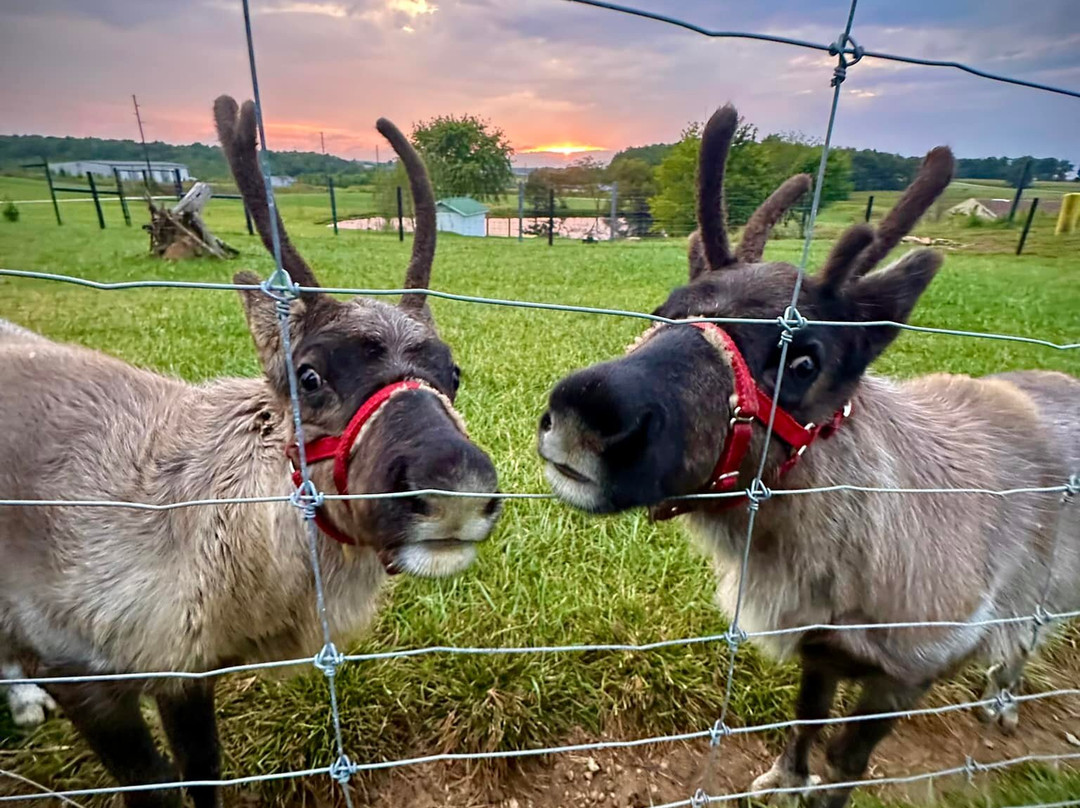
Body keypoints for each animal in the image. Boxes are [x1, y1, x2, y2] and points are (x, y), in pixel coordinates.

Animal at [0, 95, 502, 808]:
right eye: (308, 375)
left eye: (452, 373)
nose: (454, 489)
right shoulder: (80, 673)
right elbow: (155, 790)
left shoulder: (184, 671)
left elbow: (203, 772)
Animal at [537, 103, 1079, 808]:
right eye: (663, 311)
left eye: (803, 359)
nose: (585, 413)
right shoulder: (819, 647)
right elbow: (806, 718)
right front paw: (786, 779)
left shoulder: (908, 669)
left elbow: (848, 762)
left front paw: (821, 793)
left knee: (1027, 636)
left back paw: (1002, 703)